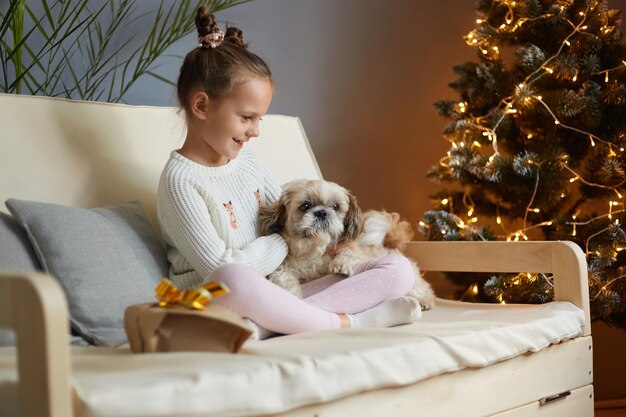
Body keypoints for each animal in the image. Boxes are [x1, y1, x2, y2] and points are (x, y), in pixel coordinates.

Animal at [258, 179, 434, 308]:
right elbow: (284, 277)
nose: (322, 212)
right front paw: (291, 295)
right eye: (305, 206)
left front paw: (341, 264)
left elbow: (349, 252)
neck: (314, 250)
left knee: (421, 288)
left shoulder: (353, 250)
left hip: (412, 279)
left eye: (336, 207)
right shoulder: (284, 268)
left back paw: (424, 300)